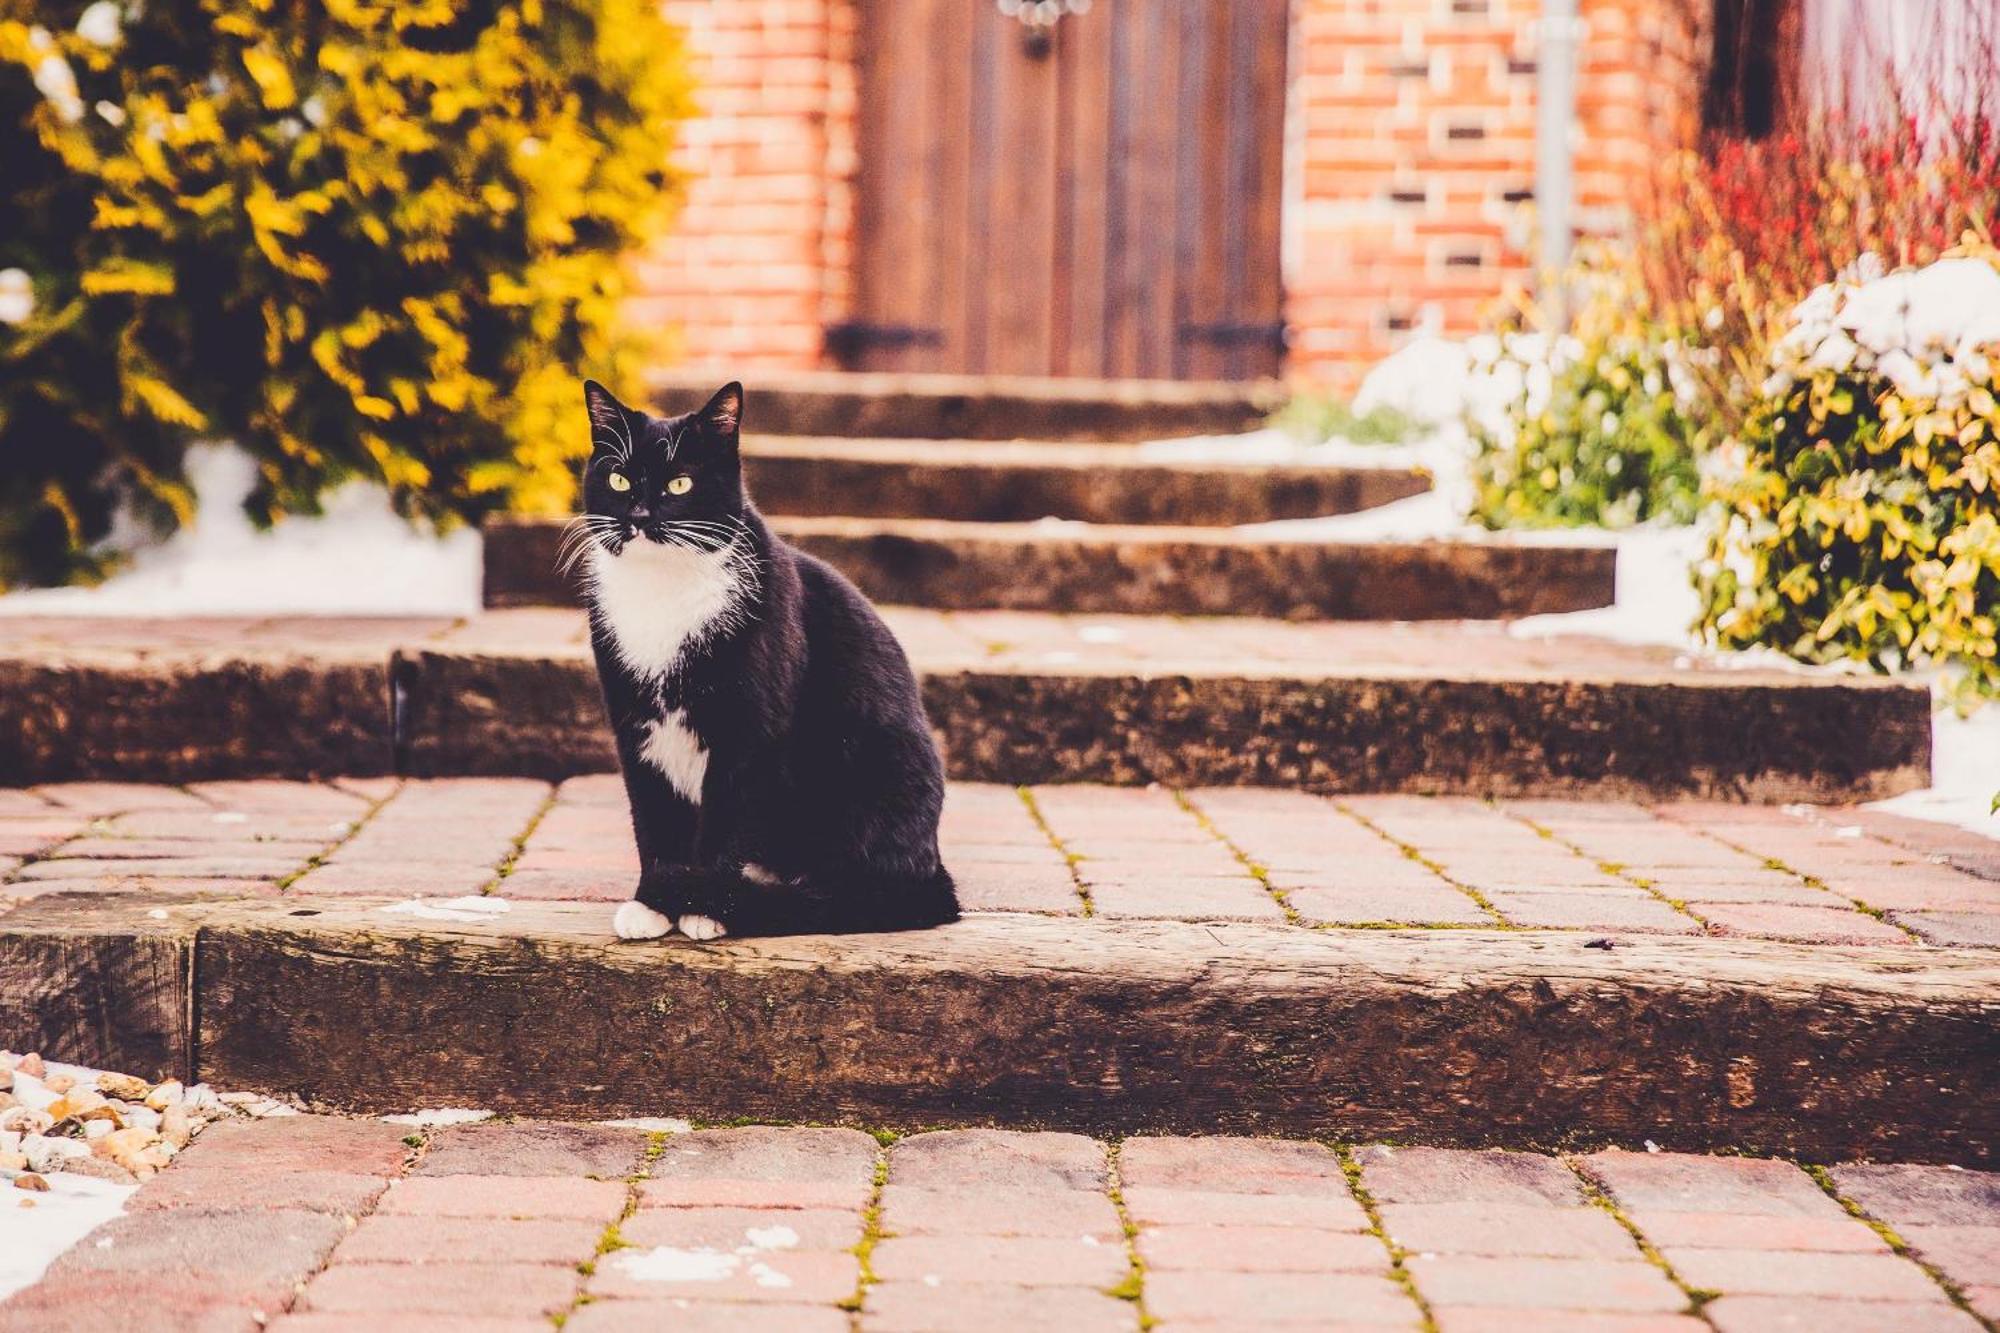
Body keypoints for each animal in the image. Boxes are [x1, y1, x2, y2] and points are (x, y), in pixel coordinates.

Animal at [572, 374, 960, 932]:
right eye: (620, 480)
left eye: (680, 484)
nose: (640, 515)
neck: (663, 591)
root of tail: (932, 870)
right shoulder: (633, 724)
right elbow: (653, 817)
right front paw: (654, 904)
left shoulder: (749, 730)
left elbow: (725, 819)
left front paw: (703, 906)